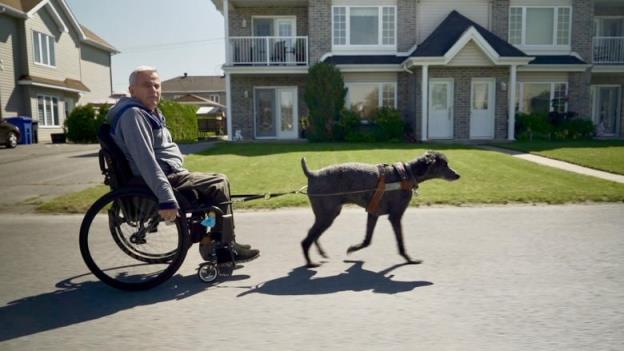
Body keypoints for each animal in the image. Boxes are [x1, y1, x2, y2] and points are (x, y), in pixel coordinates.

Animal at [300, 150, 460, 268]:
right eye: (444, 164)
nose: (458, 175)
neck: (406, 174)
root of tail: (313, 174)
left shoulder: (373, 213)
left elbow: (367, 240)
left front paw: (353, 250)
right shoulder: (395, 216)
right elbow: (400, 242)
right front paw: (410, 259)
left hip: (328, 215)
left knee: (314, 235)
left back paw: (321, 253)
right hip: (327, 215)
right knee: (306, 240)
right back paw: (310, 262)